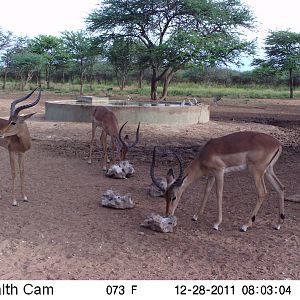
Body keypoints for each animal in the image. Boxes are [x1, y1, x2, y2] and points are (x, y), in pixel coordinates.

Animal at [151, 131, 284, 232]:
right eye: (164, 196)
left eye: (174, 197)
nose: (168, 214)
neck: (205, 155)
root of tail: (278, 144)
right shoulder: (211, 175)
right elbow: (206, 191)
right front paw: (196, 216)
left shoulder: (219, 172)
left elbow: (218, 193)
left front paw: (216, 223)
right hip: (268, 171)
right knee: (281, 188)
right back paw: (278, 224)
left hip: (257, 172)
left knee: (262, 192)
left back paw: (245, 225)